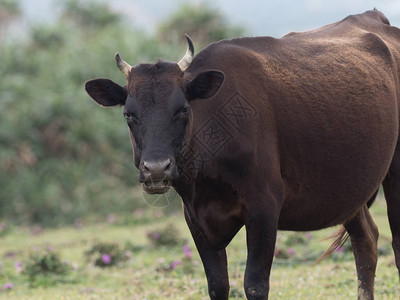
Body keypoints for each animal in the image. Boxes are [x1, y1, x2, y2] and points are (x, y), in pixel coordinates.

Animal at [84, 9, 400, 300]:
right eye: (128, 114)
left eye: (183, 109)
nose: (157, 169)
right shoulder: (195, 218)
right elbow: (217, 285)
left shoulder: (264, 208)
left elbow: (255, 285)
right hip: (350, 188)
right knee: (366, 241)